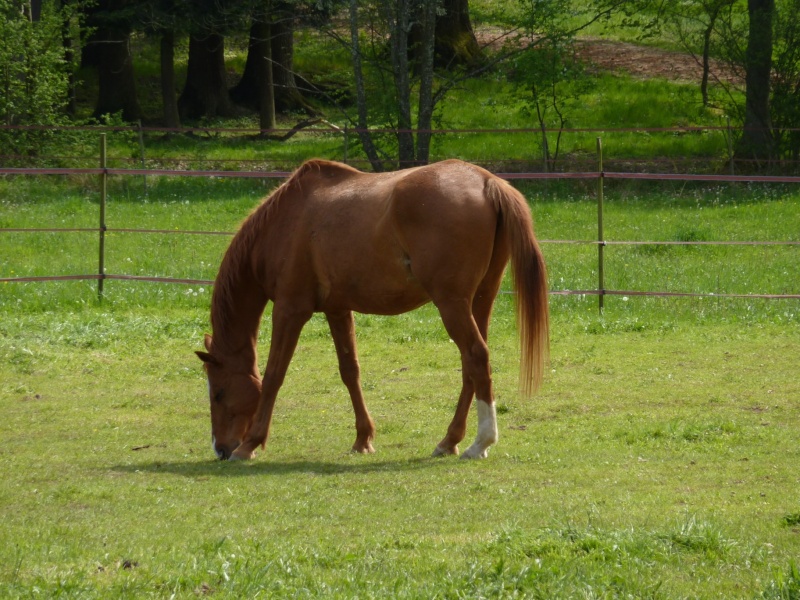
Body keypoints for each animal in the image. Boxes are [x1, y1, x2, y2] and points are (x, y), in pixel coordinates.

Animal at [197, 158, 552, 460]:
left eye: (218, 393)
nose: (221, 449)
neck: (286, 222)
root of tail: (487, 182)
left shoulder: (290, 309)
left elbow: (273, 375)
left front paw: (251, 444)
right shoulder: (338, 310)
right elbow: (350, 371)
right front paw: (363, 438)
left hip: (452, 304)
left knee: (476, 356)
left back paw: (480, 443)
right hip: (479, 300)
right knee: (472, 365)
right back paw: (449, 440)